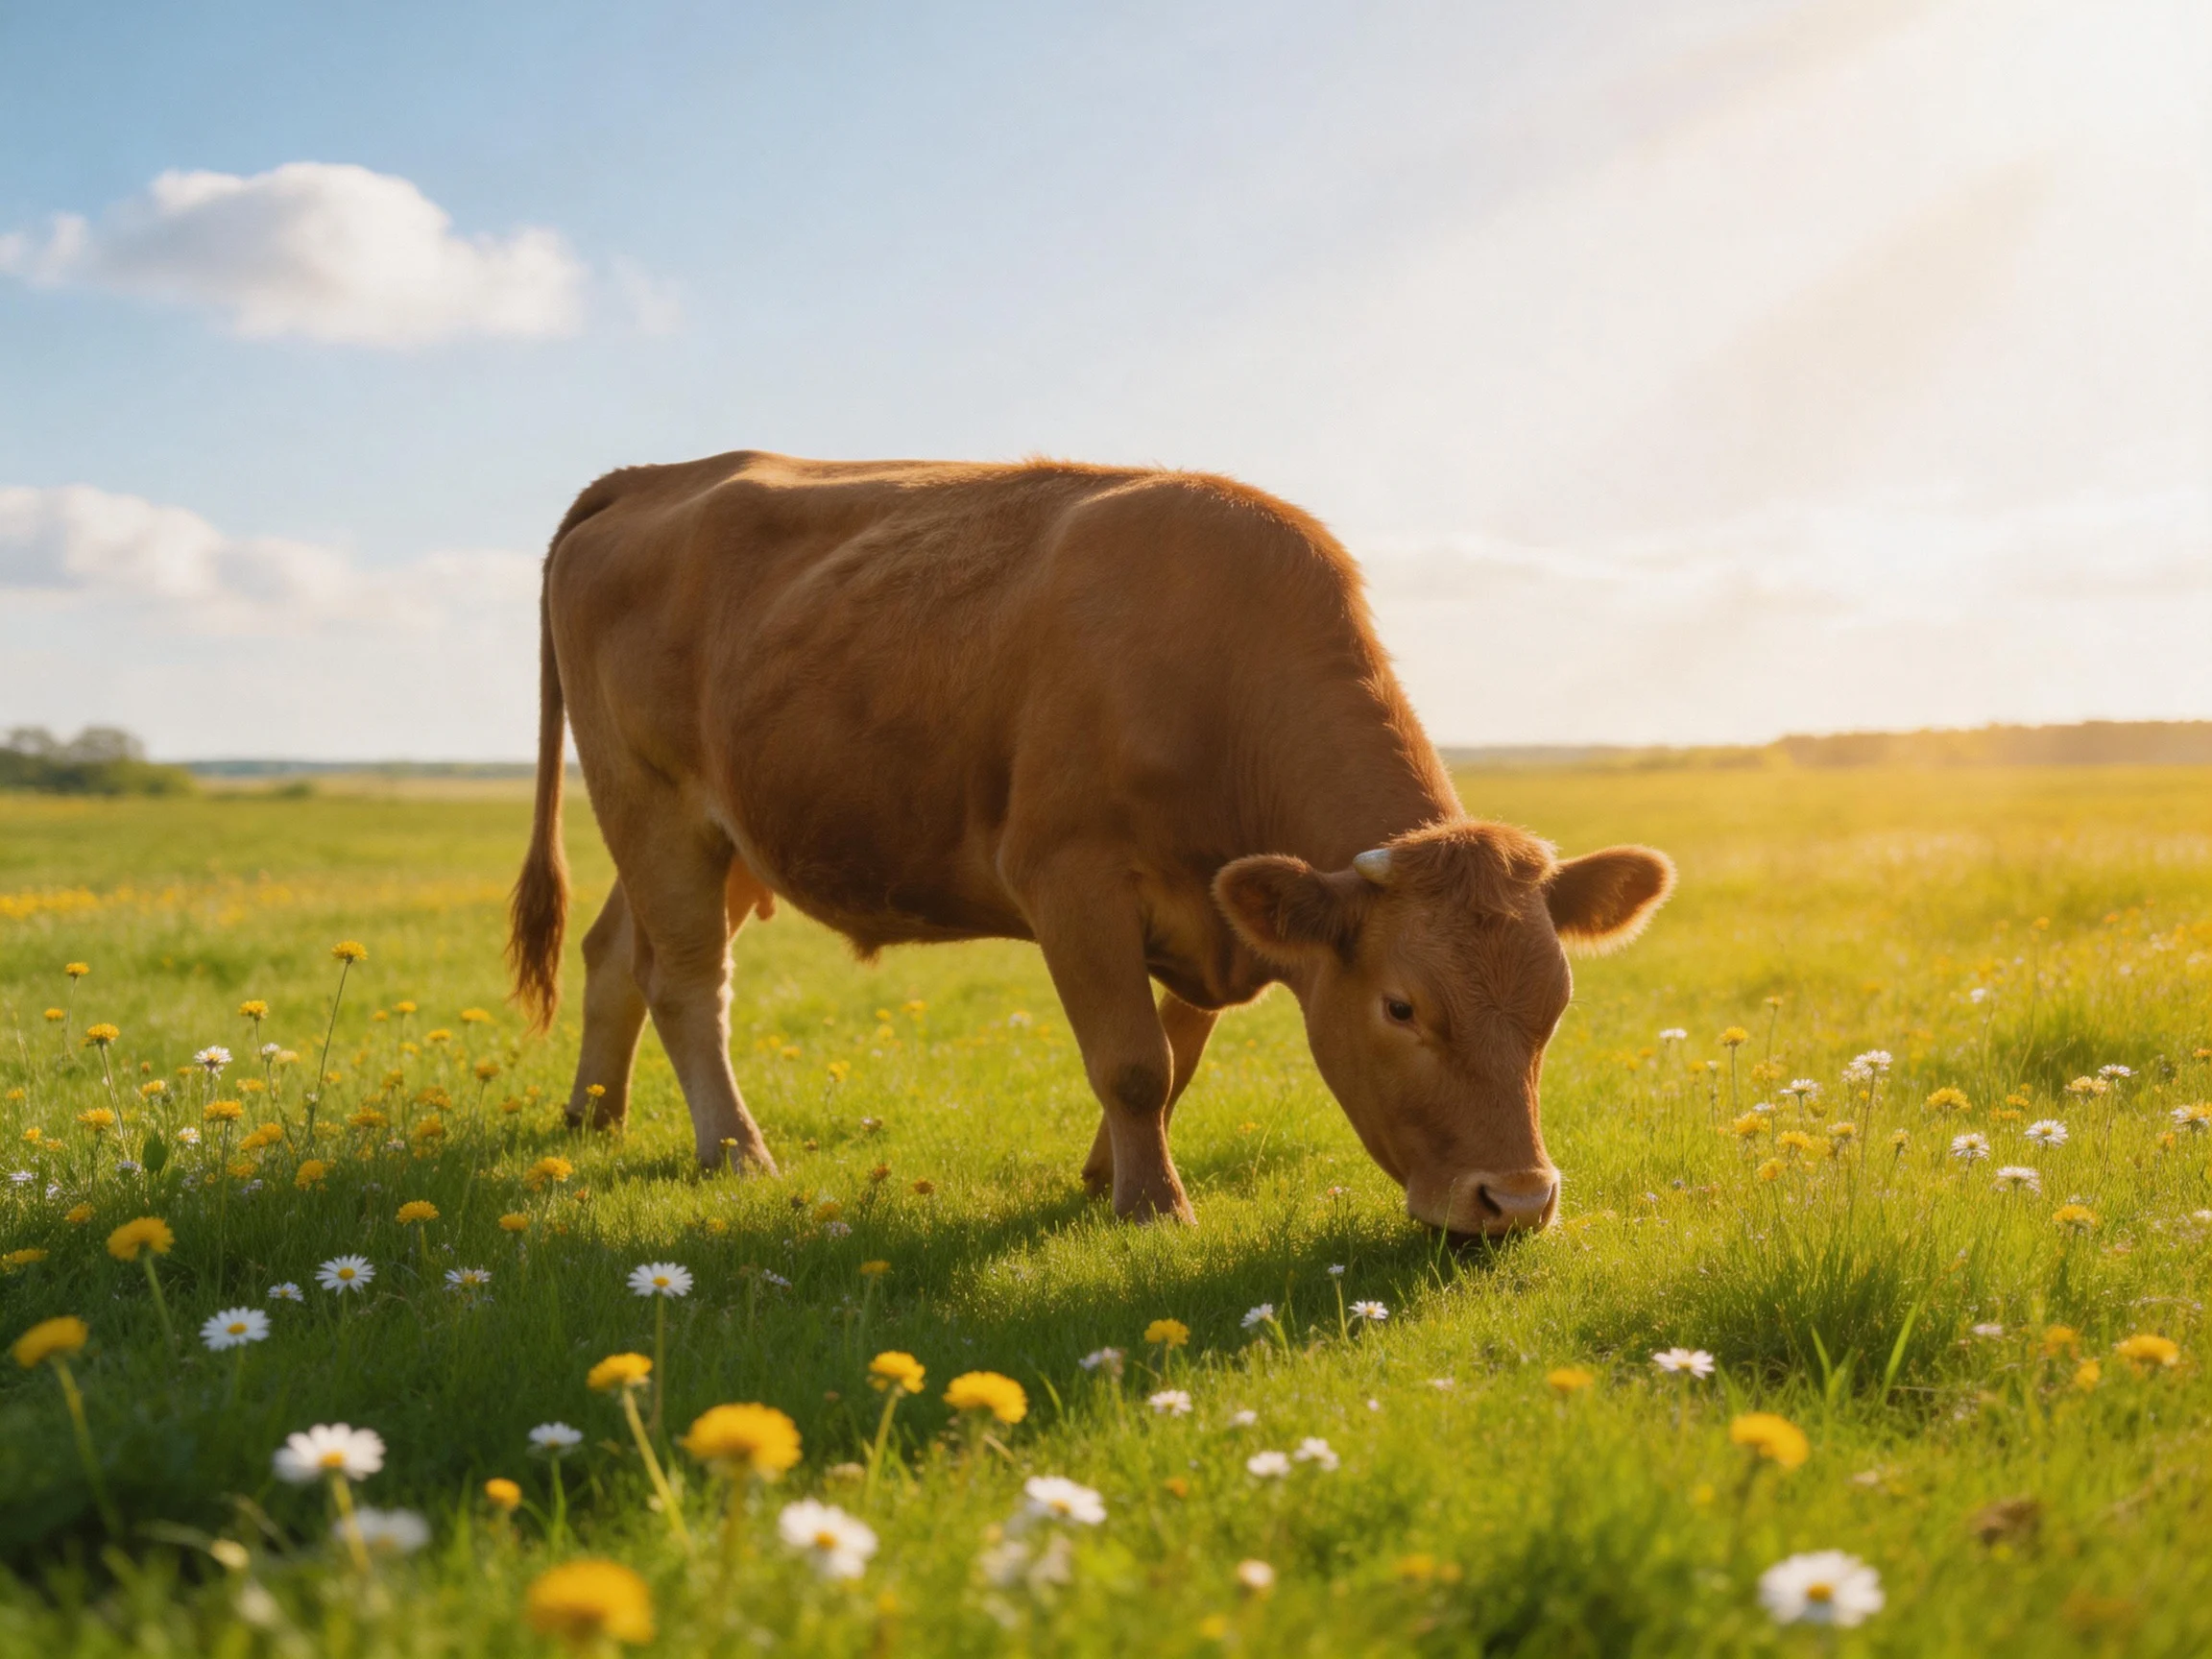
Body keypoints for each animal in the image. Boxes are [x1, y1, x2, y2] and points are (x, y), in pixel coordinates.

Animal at [507, 452, 1673, 1236]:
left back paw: (592, 1118)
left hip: (720, 836)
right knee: (687, 981)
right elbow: (1133, 1062)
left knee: (617, 954)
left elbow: (1179, 1052)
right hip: (650, 800)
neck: (1218, 677)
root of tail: (657, 474)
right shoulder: (1069, 877)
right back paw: (737, 1150)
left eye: (1555, 1006)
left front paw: (1100, 1175)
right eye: (1401, 1008)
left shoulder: (1225, 911)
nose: (1517, 1201)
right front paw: (1151, 1205)